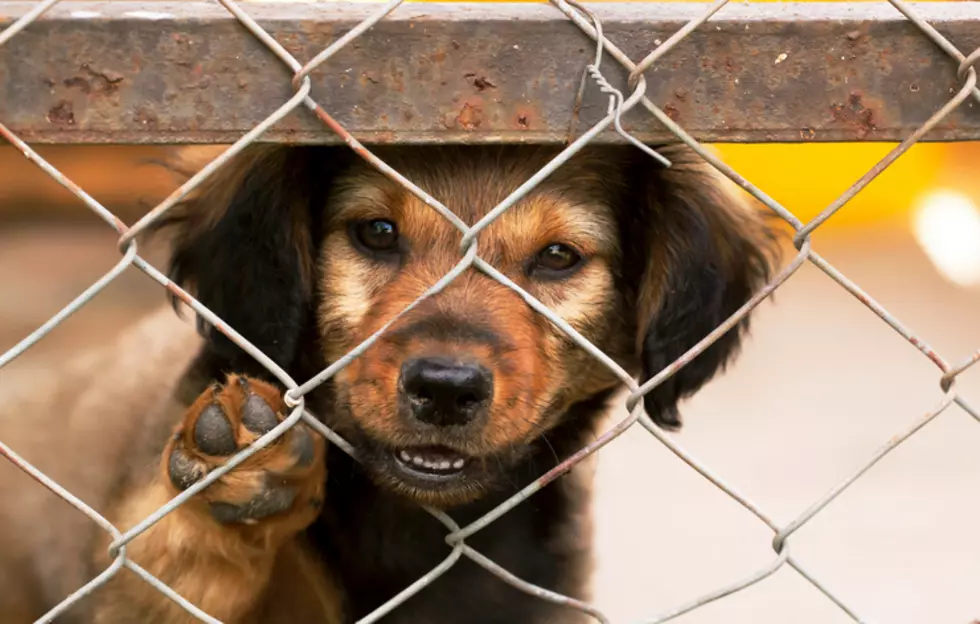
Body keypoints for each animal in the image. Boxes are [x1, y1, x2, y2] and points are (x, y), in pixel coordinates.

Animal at [0, 143, 780, 624]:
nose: (446, 389)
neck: (403, 527)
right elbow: (169, 570)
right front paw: (233, 483)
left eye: (559, 257)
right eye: (375, 232)